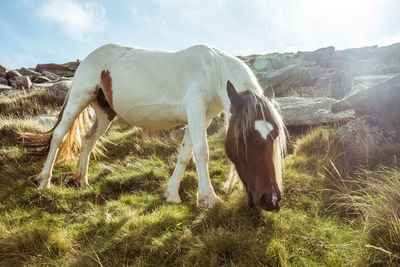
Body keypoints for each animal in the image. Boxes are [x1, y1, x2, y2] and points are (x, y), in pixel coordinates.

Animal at [21, 44, 286, 211]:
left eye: (274, 136)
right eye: (247, 137)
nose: (270, 200)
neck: (214, 71)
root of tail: (88, 58)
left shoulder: (201, 117)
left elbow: (185, 155)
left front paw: (172, 195)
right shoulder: (195, 110)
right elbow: (202, 152)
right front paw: (209, 199)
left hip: (105, 113)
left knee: (88, 141)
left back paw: (82, 180)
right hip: (79, 97)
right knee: (58, 136)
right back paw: (44, 181)